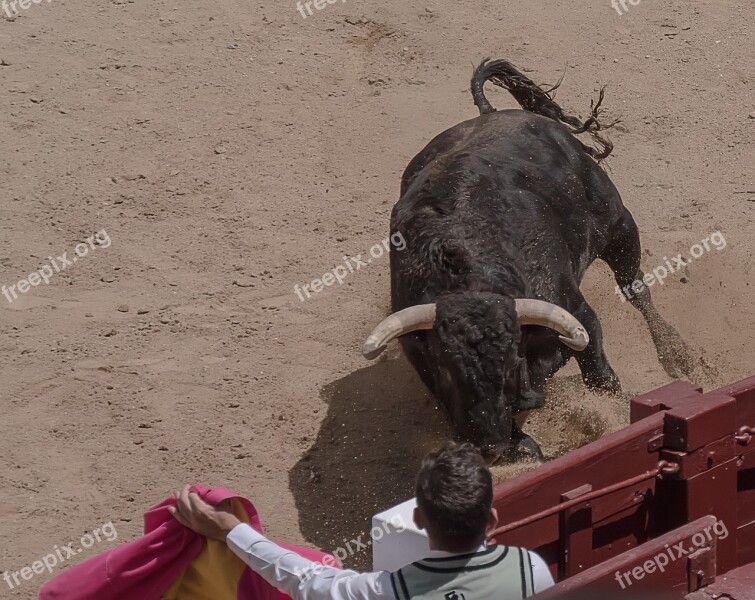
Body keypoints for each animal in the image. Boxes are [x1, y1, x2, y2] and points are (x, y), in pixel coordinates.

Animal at [364, 59, 692, 464]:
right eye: (444, 367)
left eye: (508, 362)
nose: (488, 445)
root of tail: (491, 114)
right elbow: (526, 443)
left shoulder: (579, 316)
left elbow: (601, 378)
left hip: (618, 225)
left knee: (636, 290)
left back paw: (678, 355)